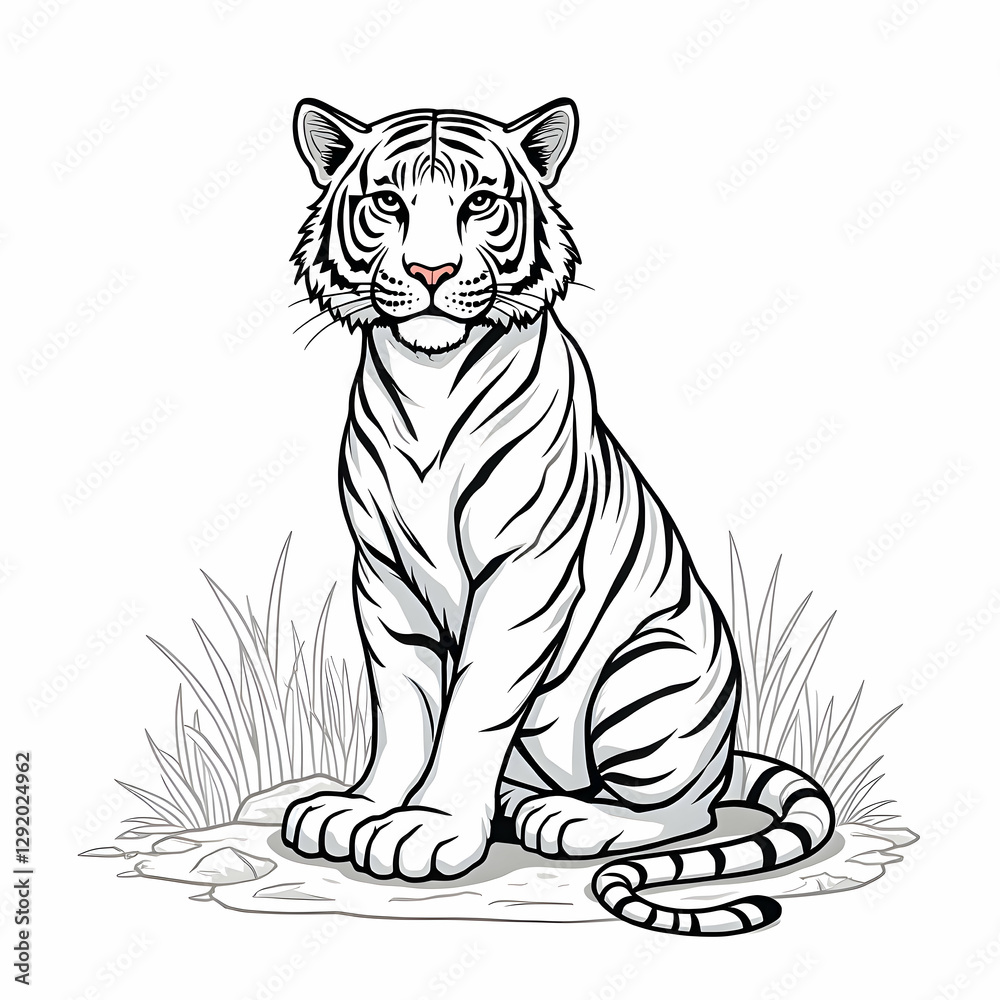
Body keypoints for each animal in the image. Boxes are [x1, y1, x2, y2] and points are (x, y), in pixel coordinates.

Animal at [274, 96, 835, 935]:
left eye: (479, 203)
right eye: (390, 203)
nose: (431, 272)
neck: (428, 380)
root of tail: (724, 752)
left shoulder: (523, 572)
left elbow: (475, 705)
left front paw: (428, 827)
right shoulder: (384, 574)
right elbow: (402, 703)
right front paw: (363, 808)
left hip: (649, 673)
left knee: (684, 812)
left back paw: (565, 817)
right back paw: (514, 801)